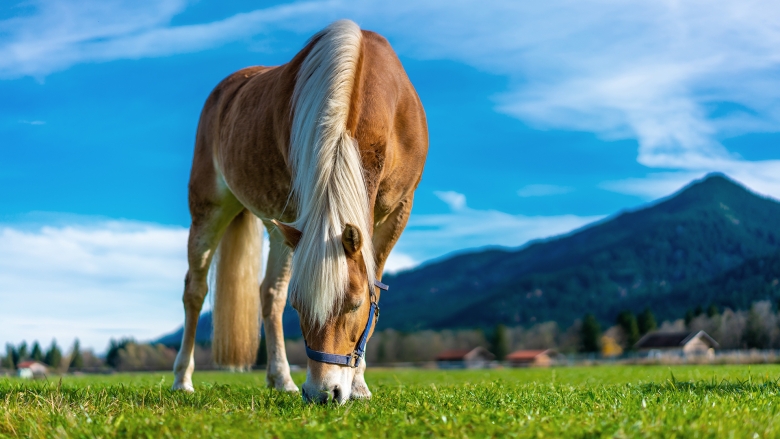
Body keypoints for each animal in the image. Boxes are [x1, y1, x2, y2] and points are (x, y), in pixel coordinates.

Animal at [172, 19, 428, 404]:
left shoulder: (398, 210)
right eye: (300, 307)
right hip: (209, 210)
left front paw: (360, 384)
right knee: (195, 290)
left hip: (280, 228)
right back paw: (182, 379)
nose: (322, 393)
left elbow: (375, 291)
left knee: (269, 294)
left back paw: (281, 378)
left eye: (354, 305)